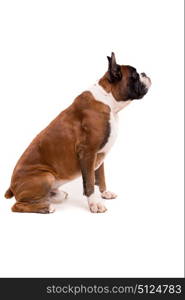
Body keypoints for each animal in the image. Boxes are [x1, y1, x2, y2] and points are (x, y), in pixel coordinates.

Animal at [4, 53, 152, 213]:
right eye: (135, 75)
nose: (144, 74)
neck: (108, 100)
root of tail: (11, 187)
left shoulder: (100, 155)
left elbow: (100, 177)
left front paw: (105, 193)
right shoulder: (88, 152)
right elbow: (90, 181)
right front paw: (95, 203)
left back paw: (53, 196)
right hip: (46, 177)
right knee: (17, 206)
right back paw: (46, 208)